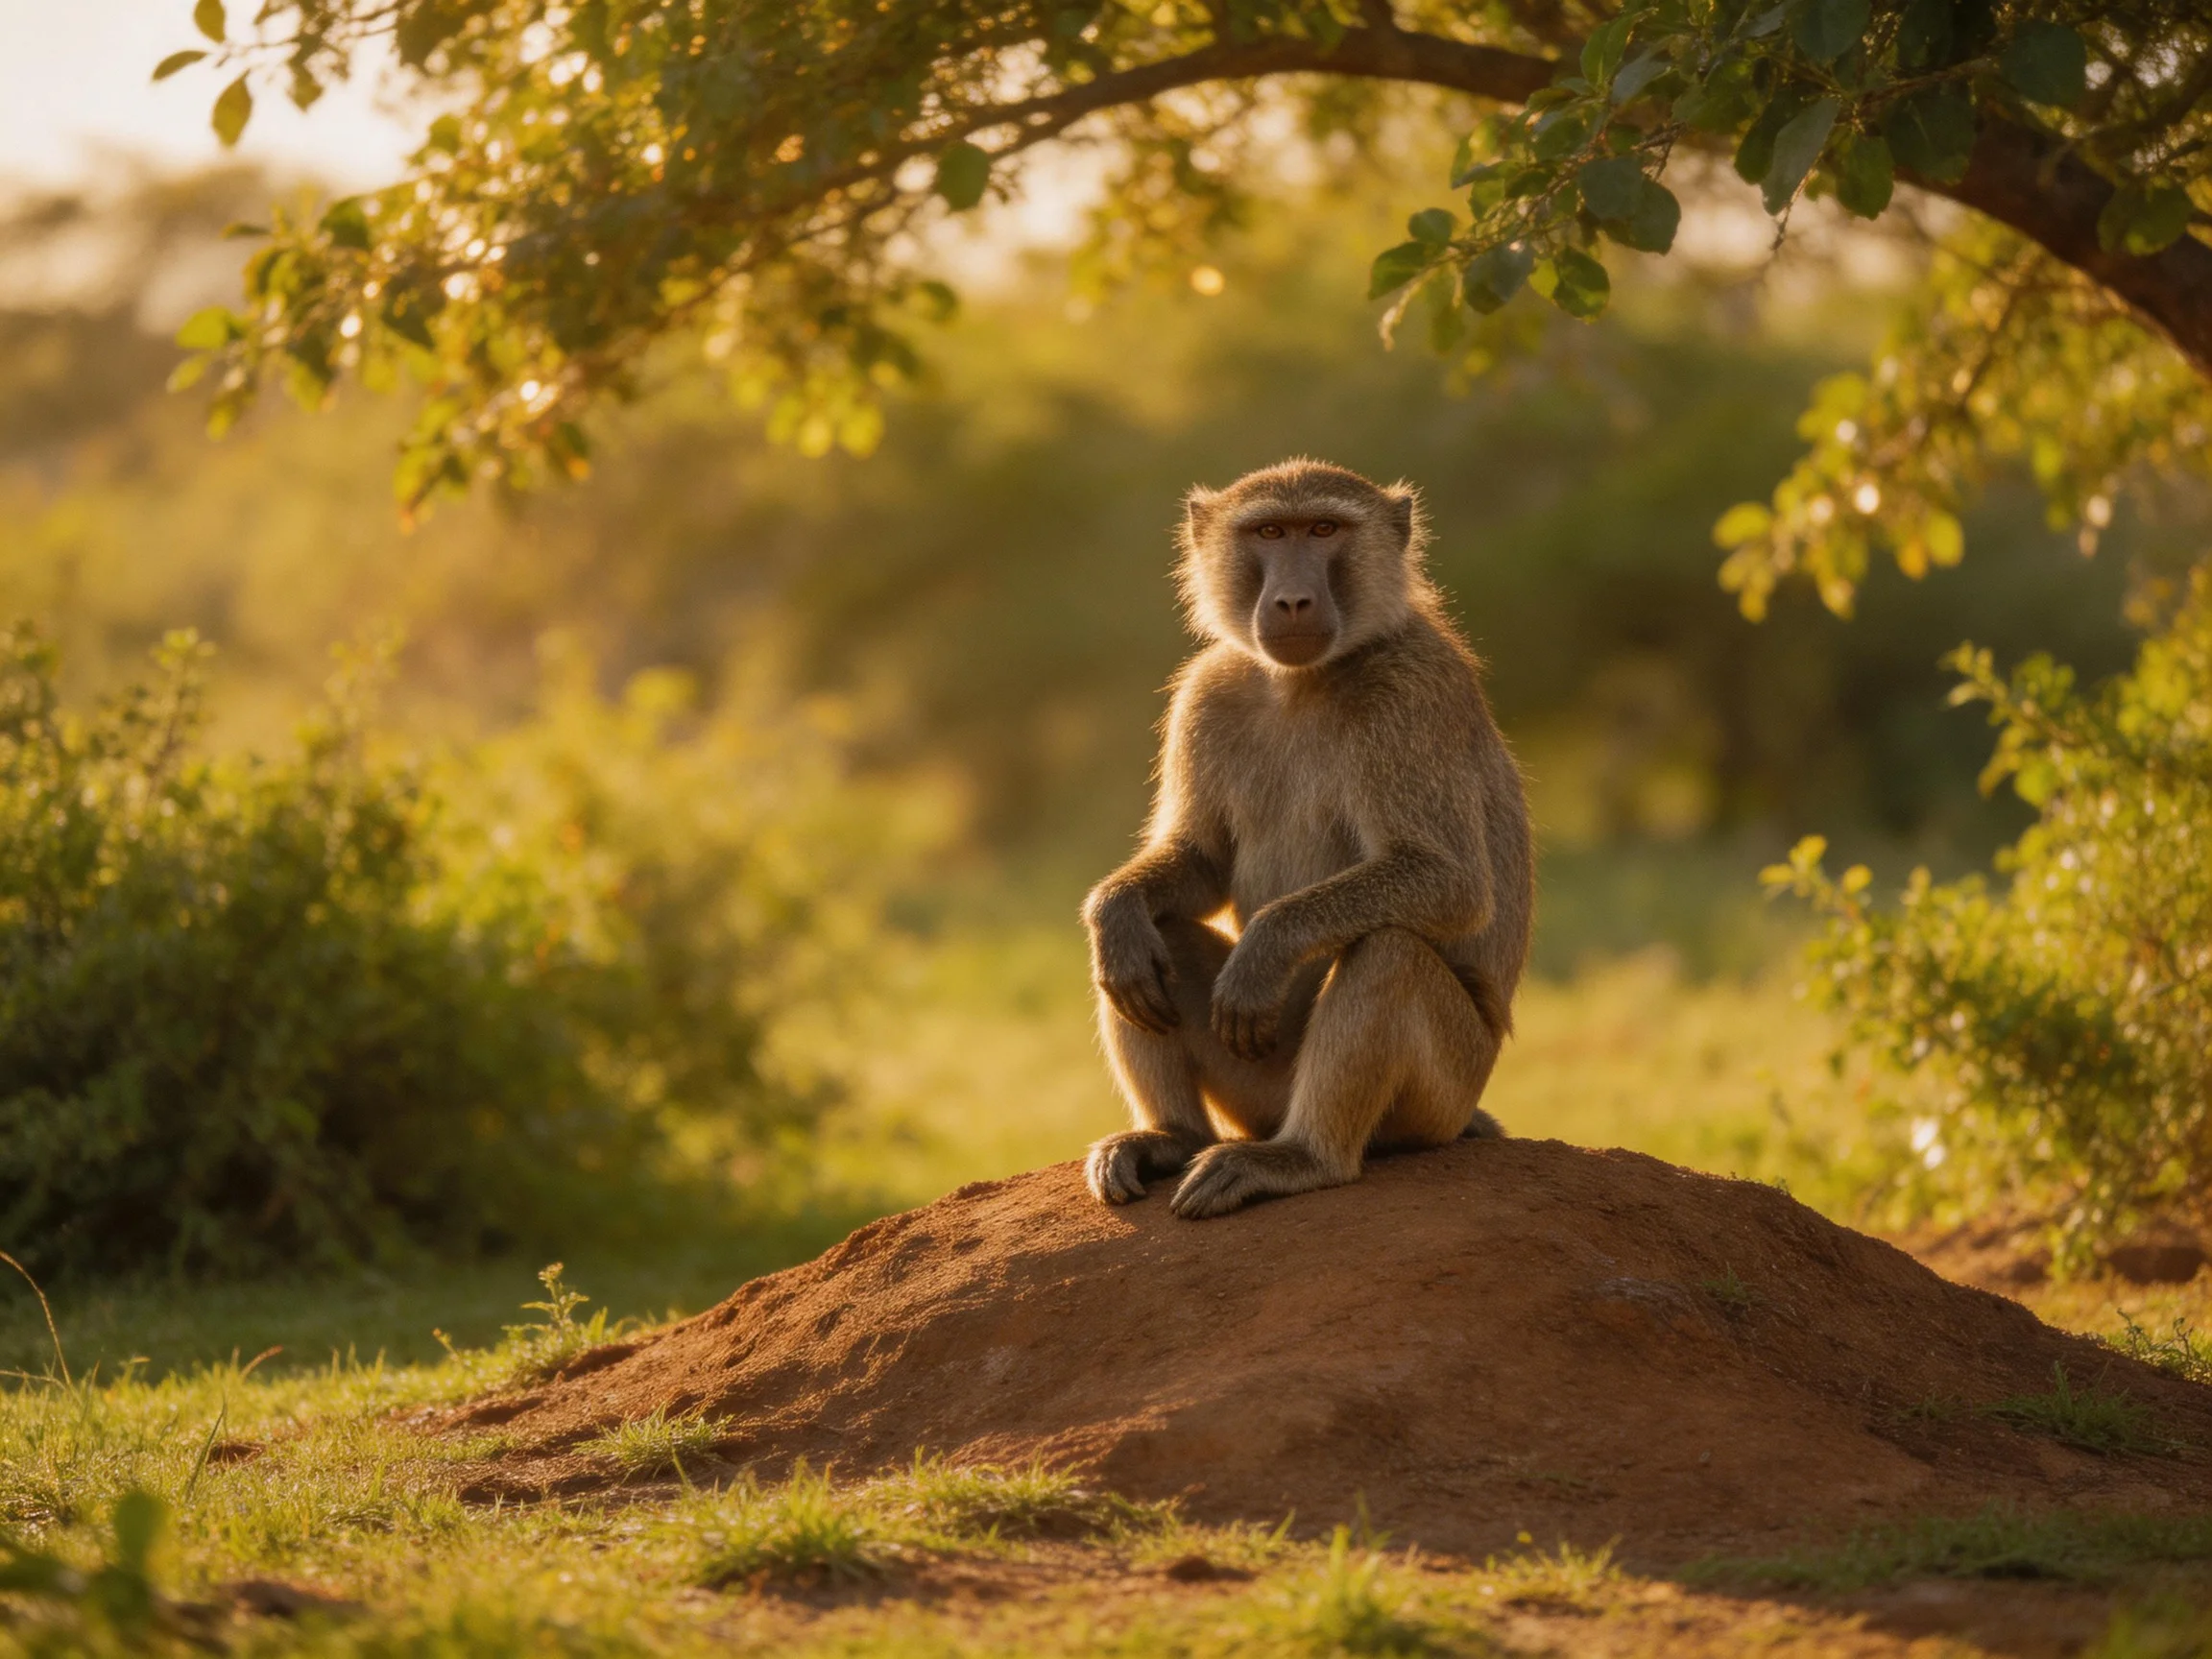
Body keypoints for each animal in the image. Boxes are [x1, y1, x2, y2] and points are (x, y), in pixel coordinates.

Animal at [1080, 458, 1533, 1219]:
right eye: (1270, 532)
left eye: (1324, 529)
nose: (1292, 601)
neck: (1302, 682)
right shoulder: (1205, 692)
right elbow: (1199, 867)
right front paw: (1112, 910)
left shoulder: (1411, 694)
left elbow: (1451, 881)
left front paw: (1267, 946)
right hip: (1255, 1087)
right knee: (1151, 944)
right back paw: (1171, 1137)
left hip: (1443, 1093)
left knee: (1390, 952)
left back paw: (1303, 1158)